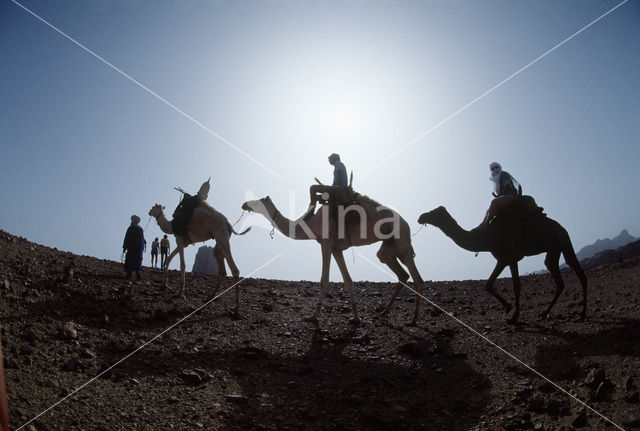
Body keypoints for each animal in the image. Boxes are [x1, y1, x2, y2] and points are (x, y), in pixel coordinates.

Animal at [242, 194, 428, 326]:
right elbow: (348, 280)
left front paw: (313, 317)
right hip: (388, 248)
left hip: (402, 241)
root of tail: (406, 223)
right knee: (401, 273)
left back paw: (413, 320)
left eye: (258, 201)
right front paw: (356, 318)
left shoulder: (326, 243)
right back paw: (384, 312)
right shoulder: (336, 249)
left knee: (417, 277)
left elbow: (324, 280)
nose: (244, 204)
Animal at [418, 206, 588, 324]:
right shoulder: (503, 259)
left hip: (562, 239)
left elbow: (516, 286)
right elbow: (488, 284)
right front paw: (508, 308)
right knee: (557, 277)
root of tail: (561, 226)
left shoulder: (509, 257)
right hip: (554, 249)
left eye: (434, 212)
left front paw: (514, 317)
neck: (485, 237)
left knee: (578, 272)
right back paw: (544, 313)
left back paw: (582, 314)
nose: (421, 216)